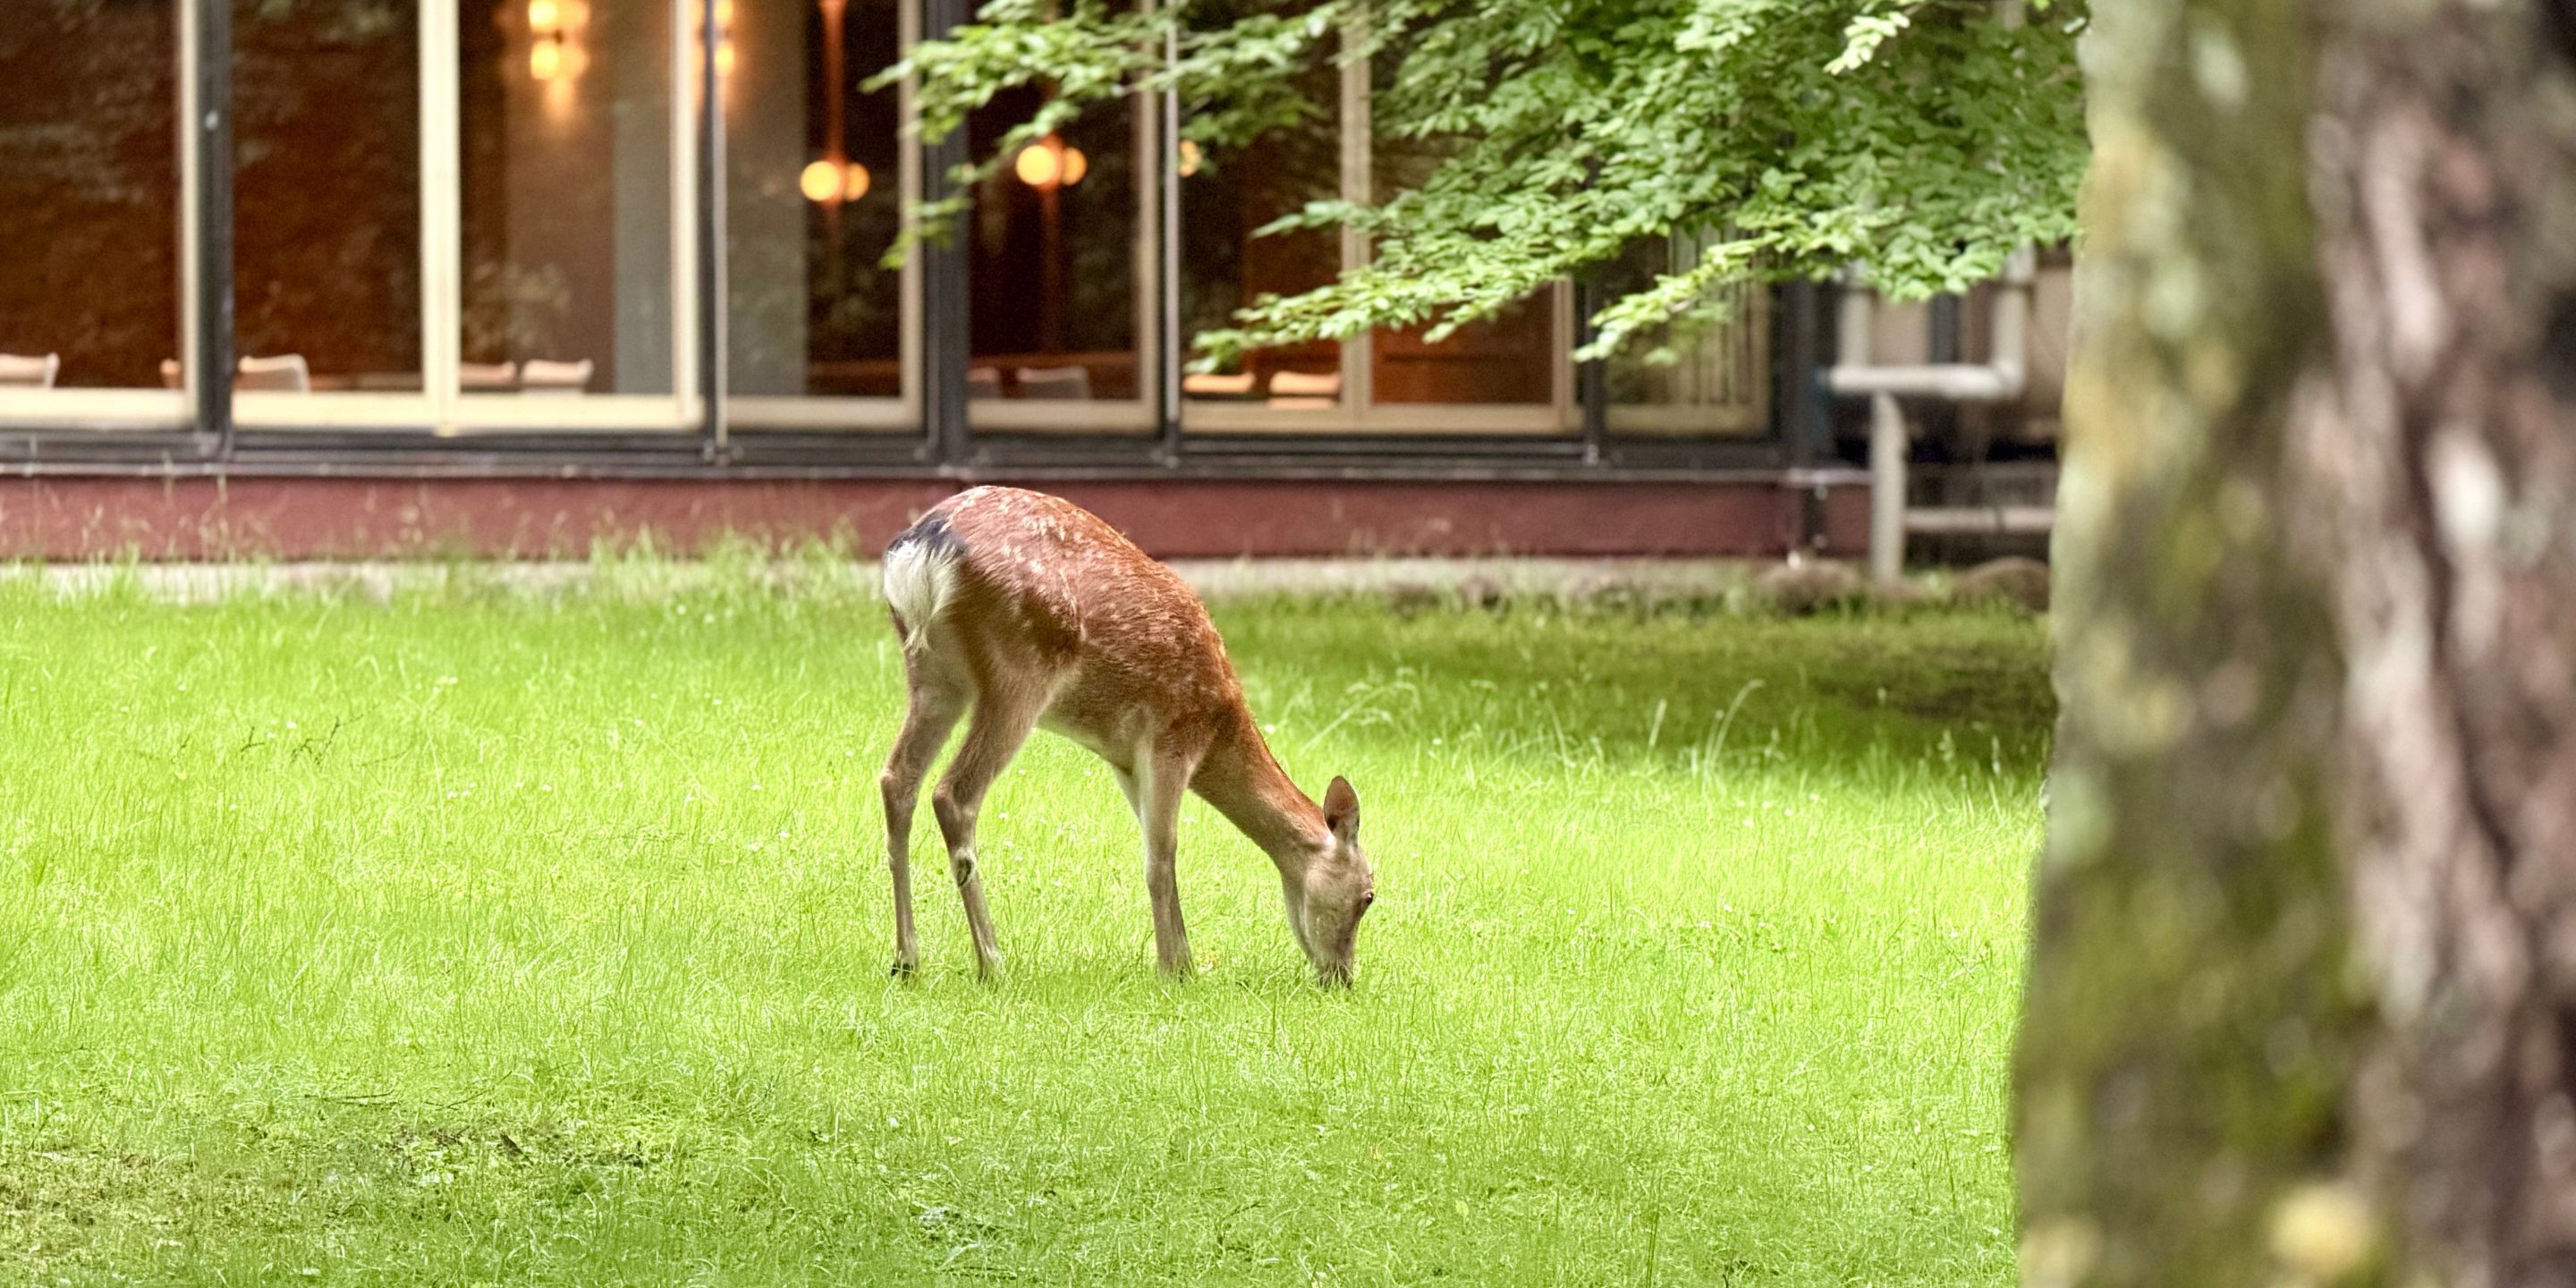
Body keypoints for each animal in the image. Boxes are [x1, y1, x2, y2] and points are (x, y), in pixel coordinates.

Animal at [876, 486, 1376, 986]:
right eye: (1369, 895)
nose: (1342, 977)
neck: (1221, 723)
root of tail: (924, 549)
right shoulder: (1172, 737)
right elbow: (1162, 855)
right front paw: (1176, 969)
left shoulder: (1123, 758)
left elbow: (1154, 845)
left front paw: (1183, 961)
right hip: (1021, 670)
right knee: (953, 793)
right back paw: (993, 963)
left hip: (935, 676)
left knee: (897, 779)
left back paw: (906, 959)